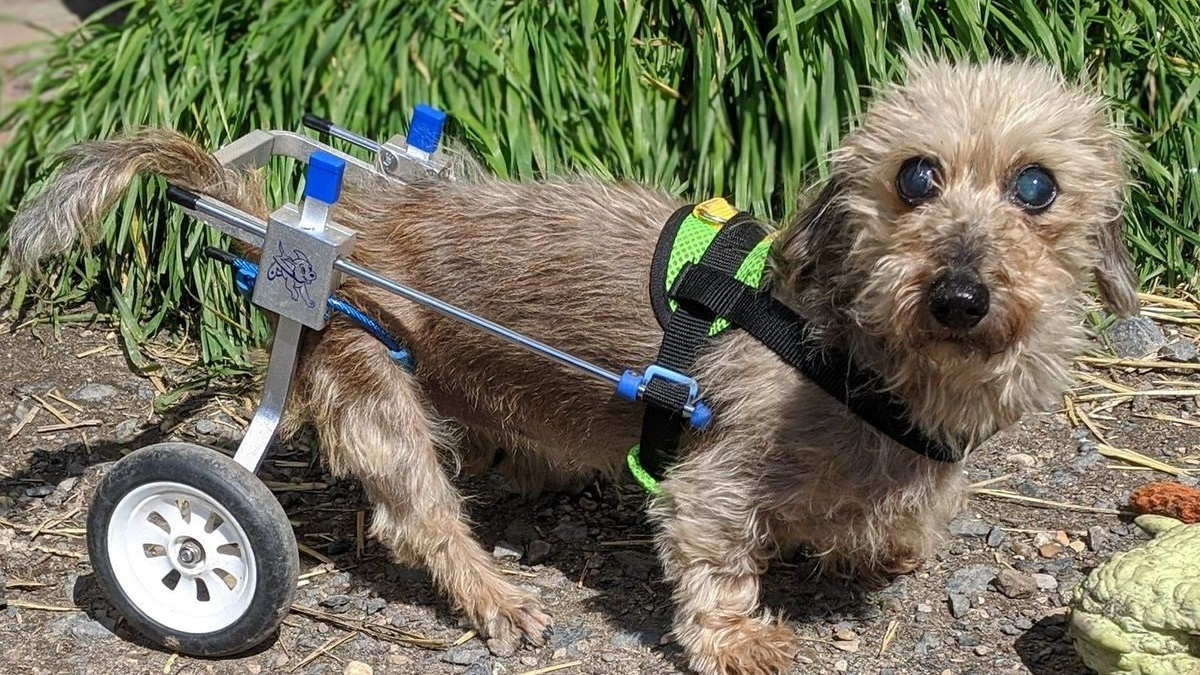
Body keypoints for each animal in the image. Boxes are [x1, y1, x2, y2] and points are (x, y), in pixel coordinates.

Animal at [7, 57, 1132, 672]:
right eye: (916, 176)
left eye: (1037, 185)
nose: (960, 294)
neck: (851, 346)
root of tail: (324, 219)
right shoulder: (714, 485)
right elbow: (717, 563)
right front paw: (740, 637)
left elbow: (900, 528)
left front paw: (884, 546)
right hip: (371, 370)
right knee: (418, 514)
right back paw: (491, 594)